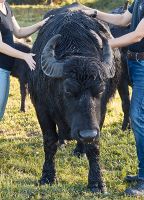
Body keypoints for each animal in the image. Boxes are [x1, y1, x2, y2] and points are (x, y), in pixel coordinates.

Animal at [27, 2, 121, 194]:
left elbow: (94, 146)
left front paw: (96, 182)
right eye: (68, 91)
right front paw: (47, 176)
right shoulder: (41, 108)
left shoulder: (100, 113)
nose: (87, 133)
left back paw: (80, 149)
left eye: (100, 90)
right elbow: (50, 141)